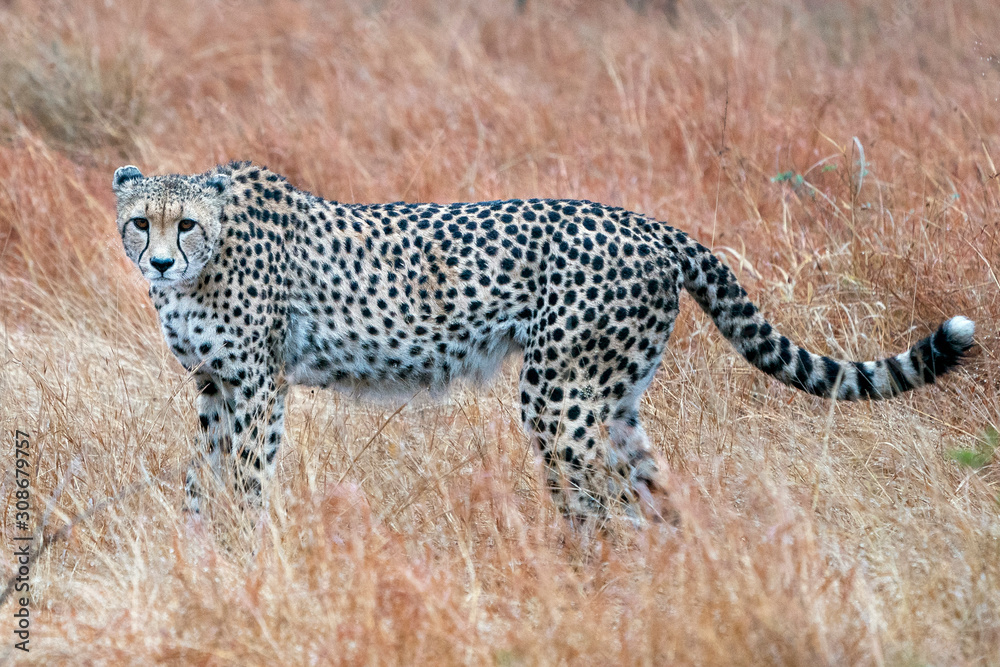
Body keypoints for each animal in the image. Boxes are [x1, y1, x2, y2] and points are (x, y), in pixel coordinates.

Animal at [113, 162, 972, 528]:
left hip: (559, 396)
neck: (208, 260)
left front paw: (246, 558)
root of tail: (649, 224)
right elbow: (200, 476)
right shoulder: (217, 386)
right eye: (139, 221)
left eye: (185, 225)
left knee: (599, 505)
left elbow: (245, 477)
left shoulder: (259, 384)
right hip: (611, 400)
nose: (158, 262)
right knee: (653, 498)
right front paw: (198, 557)